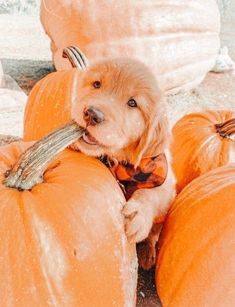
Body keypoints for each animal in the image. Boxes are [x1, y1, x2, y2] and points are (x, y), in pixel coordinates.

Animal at [70, 57, 175, 270]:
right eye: (96, 84)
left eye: (132, 103)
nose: (91, 114)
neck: (120, 162)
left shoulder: (166, 180)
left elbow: (152, 193)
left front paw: (137, 213)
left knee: (153, 236)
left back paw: (147, 254)